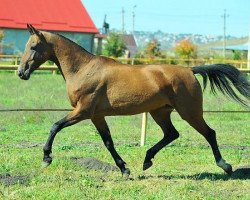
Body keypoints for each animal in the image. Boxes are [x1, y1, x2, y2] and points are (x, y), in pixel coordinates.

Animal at [18, 23, 250, 177]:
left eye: (33, 47)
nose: (21, 73)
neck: (83, 69)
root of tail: (190, 70)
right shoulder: (96, 116)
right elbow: (108, 142)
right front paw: (124, 169)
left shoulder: (82, 111)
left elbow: (55, 126)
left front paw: (46, 158)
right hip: (160, 112)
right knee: (172, 134)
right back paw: (147, 160)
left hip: (189, 112)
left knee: (209, 133)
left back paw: (225, 166)